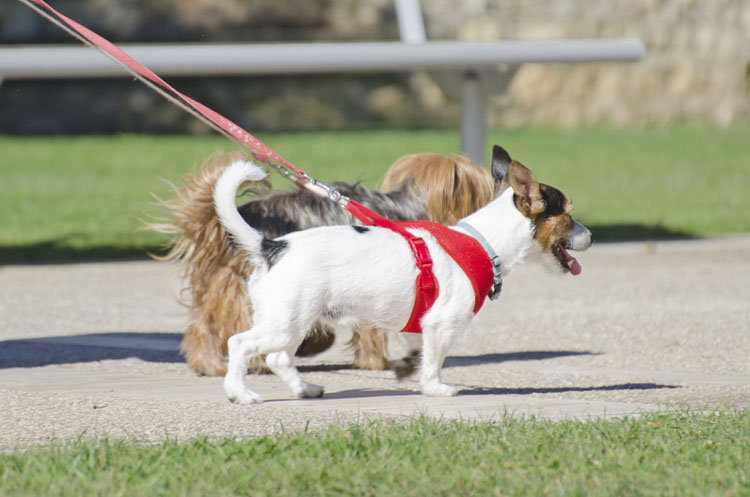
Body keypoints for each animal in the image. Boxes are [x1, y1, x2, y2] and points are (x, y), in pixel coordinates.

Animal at [150, 152, 496, 376]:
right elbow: (372, 331)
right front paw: (376, 363)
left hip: (225, 284)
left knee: (204, 324)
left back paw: (209, 364)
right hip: (246, 288)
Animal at [216, 145, 592, 402]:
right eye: (569, 215)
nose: (590, 236)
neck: (483, 240)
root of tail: (271, 246)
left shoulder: (420, 323)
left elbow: (418, 351)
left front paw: (409, 369)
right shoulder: (441, 324)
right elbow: (435, 360)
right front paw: (435, 387)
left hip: (294, 321)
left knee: (278, 358)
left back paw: (305, 388)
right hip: (287, 322)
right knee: (240, 343)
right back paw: (239, 392)